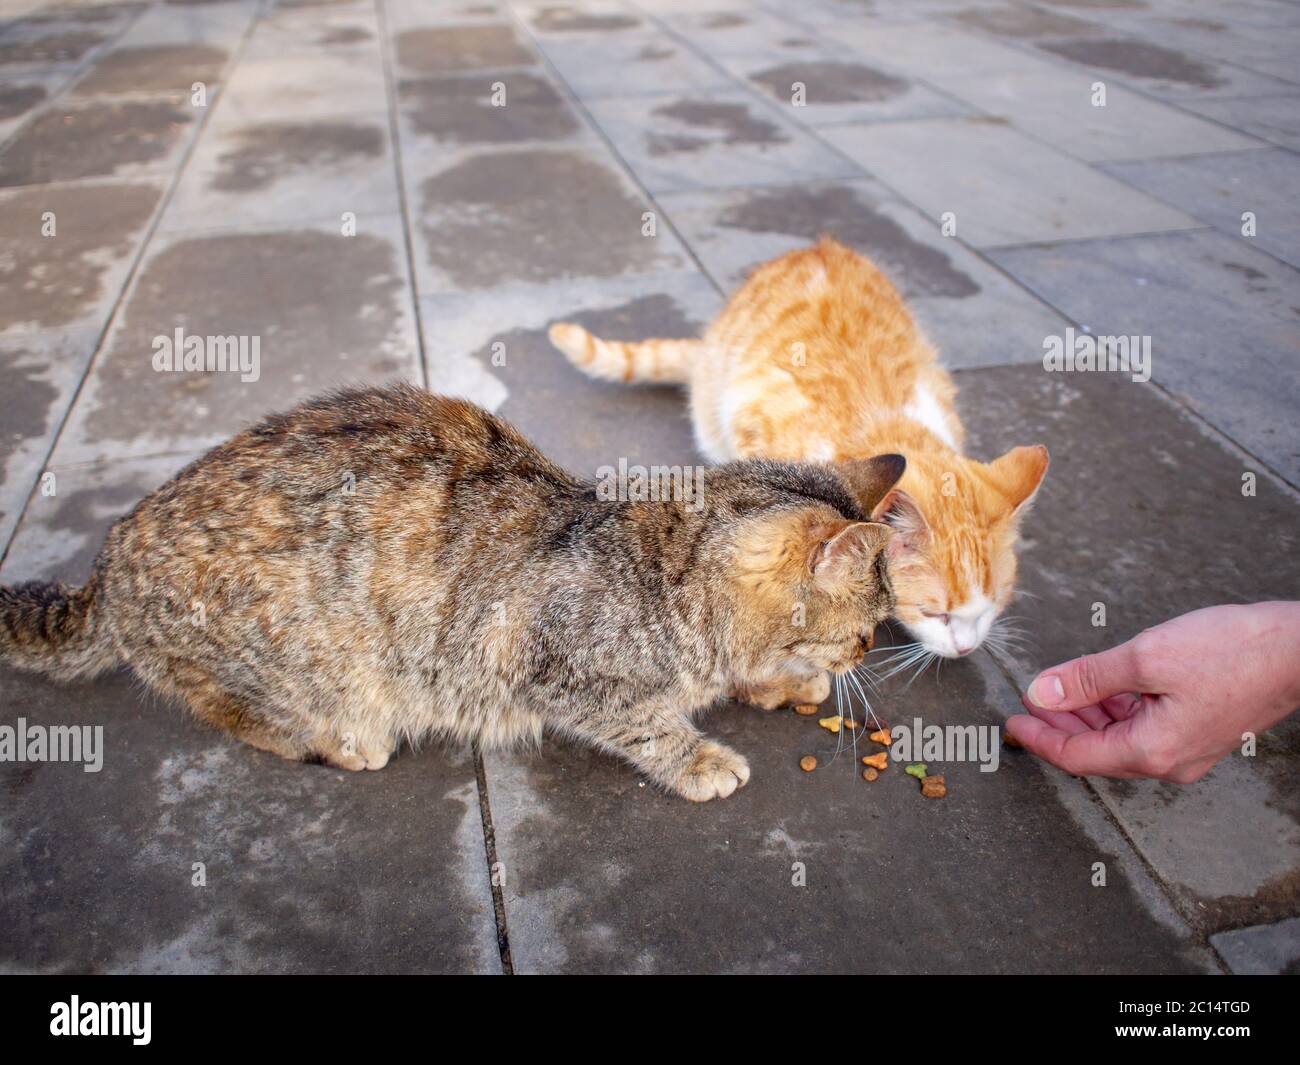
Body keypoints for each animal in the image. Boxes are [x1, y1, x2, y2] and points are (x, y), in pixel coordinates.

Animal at [2, 387, 904, 806]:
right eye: (866, 631)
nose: (864, 656)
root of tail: (110, 555)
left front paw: (781, 681)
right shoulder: (561, 672)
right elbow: (645, 721)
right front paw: (700, 755)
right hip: (276, 658)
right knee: (223, 704)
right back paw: (330, 739)